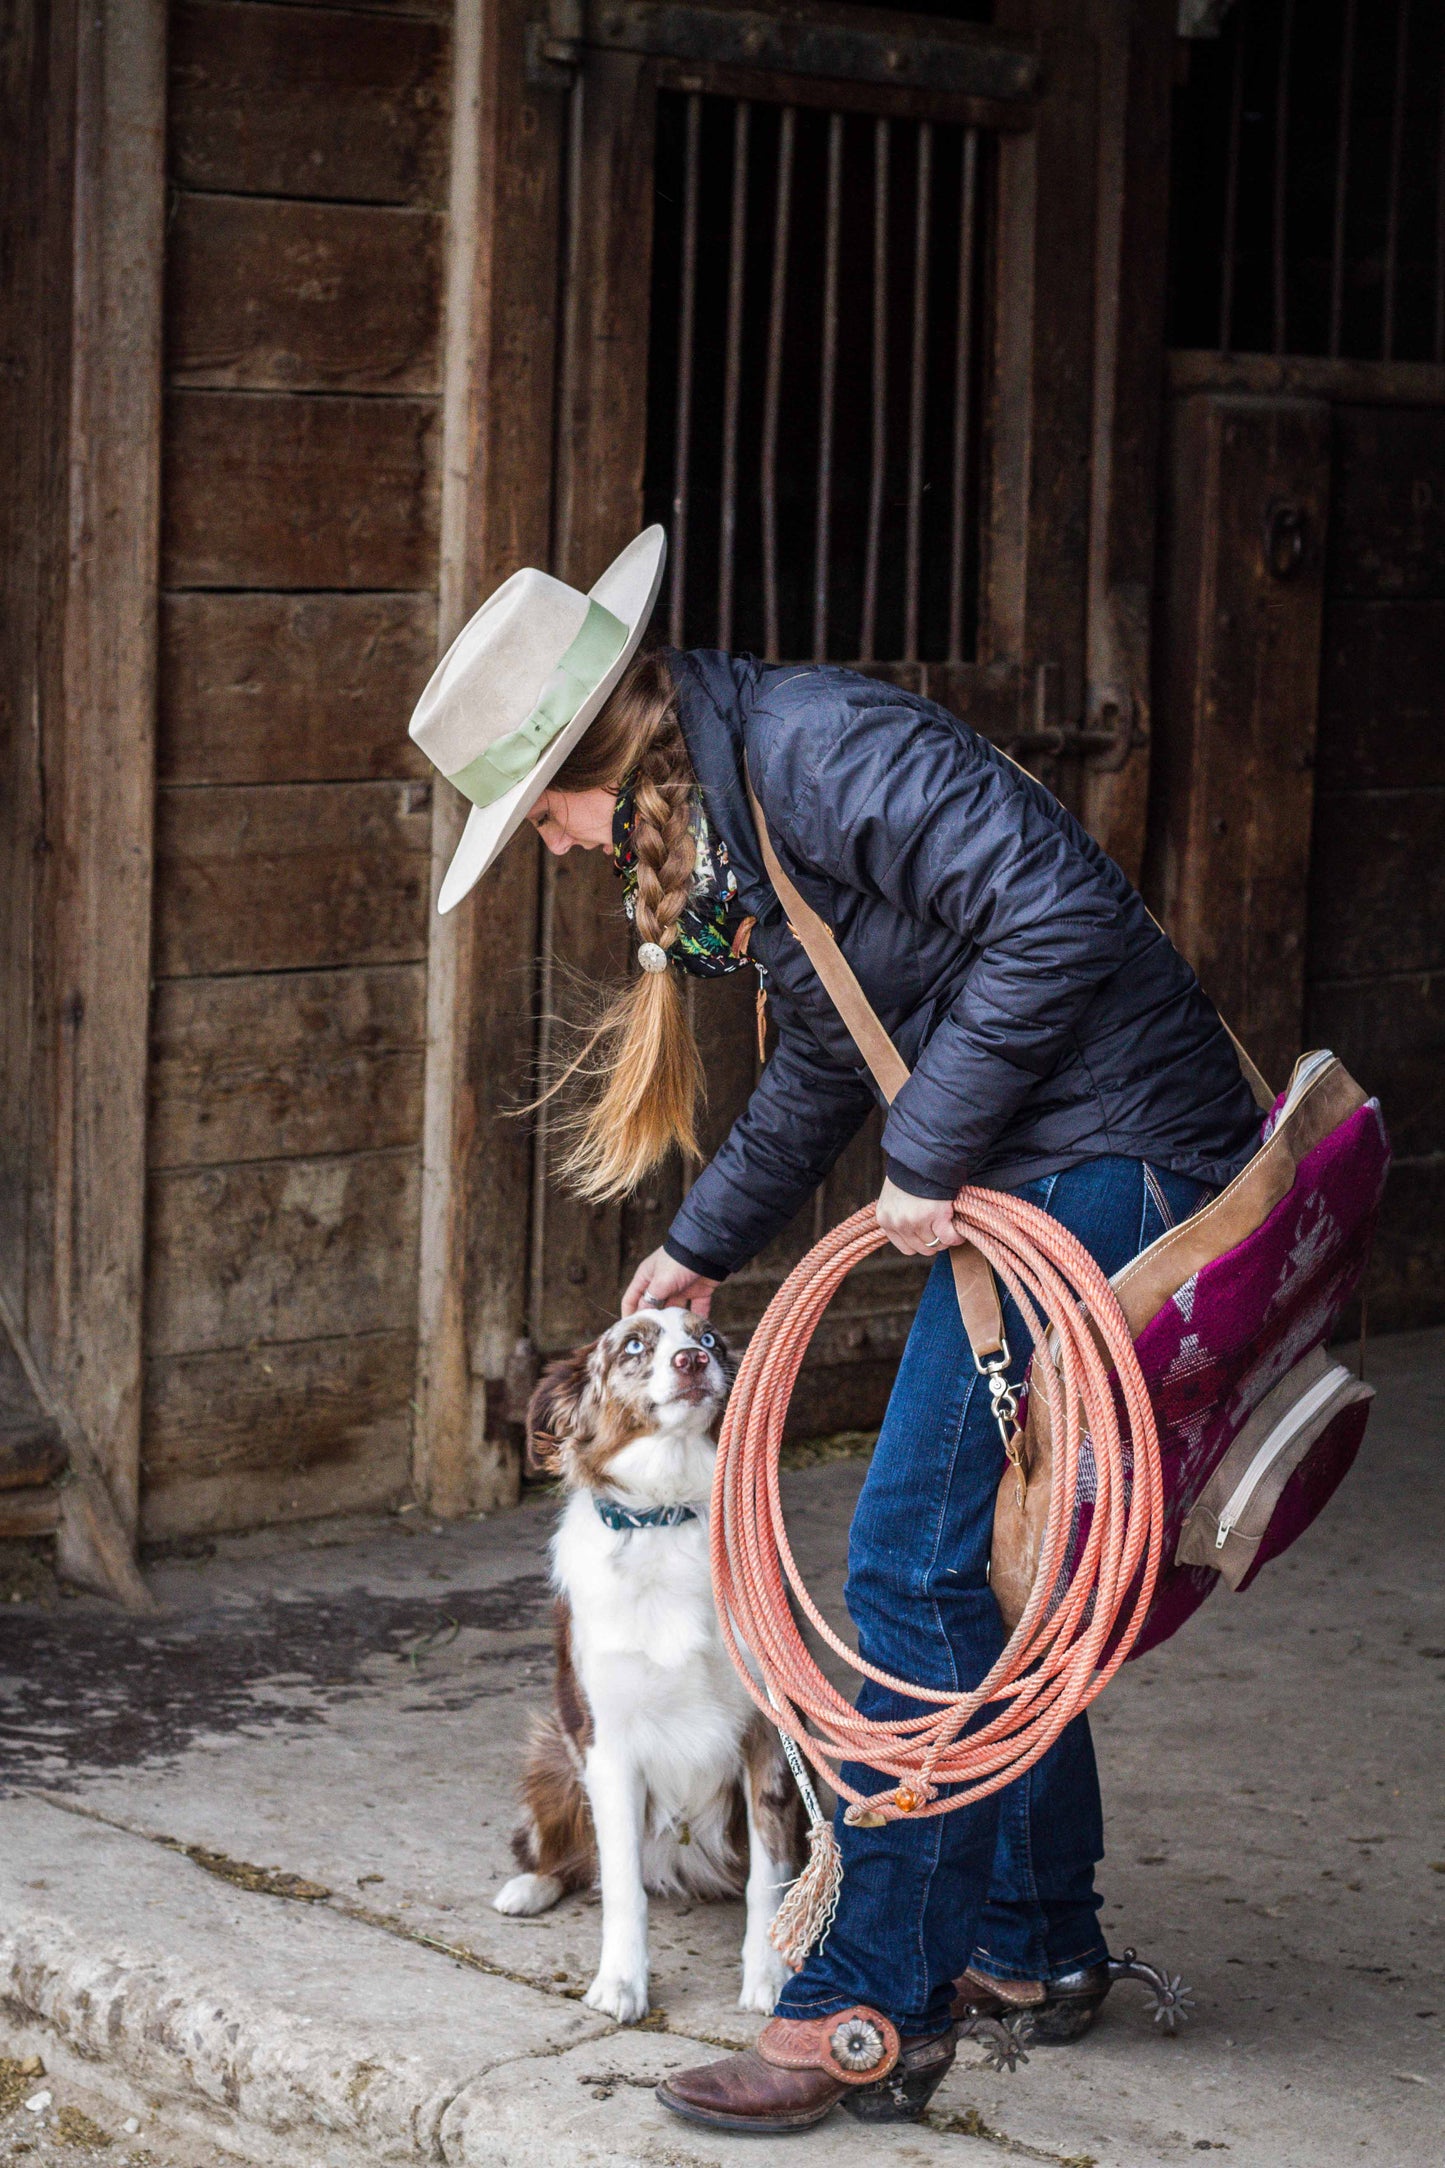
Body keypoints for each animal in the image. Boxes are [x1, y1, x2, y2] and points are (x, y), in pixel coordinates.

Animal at [498, 1300, 810, 2029]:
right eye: (633, 1345)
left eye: (710, 1339)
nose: (692, 1362)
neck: (669, 1511)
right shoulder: (607, 1745)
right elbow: (621, 1886)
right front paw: (621, 1983)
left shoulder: (768, 1735)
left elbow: (767, 1877)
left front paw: (769, 1977)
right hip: (553, 1754)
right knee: (567, 1856)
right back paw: (528, 1887)